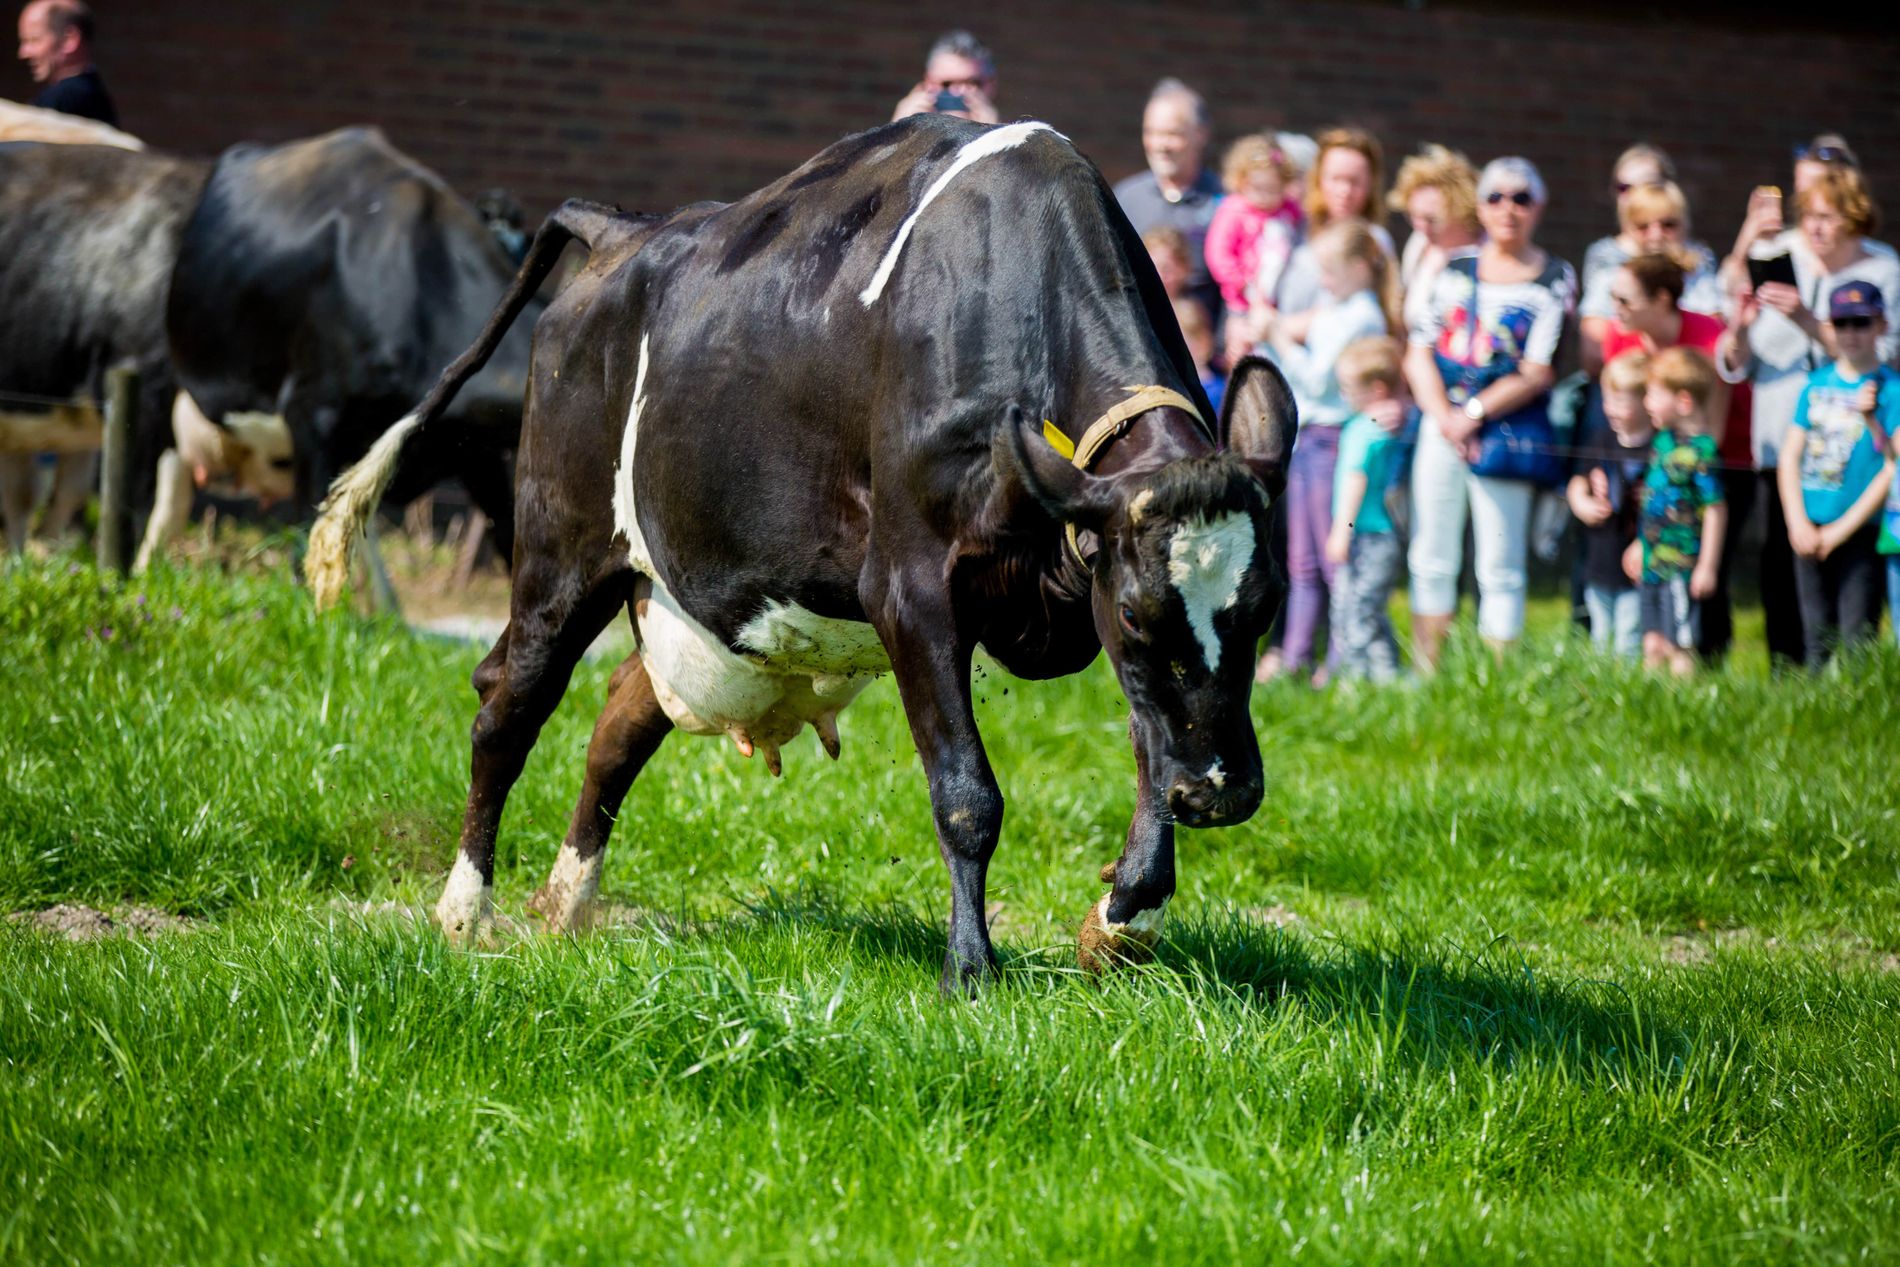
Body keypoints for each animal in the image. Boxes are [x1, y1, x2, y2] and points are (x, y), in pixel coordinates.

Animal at [308, 116, 1296, 994]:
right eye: (1137, 607)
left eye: (1268, 604)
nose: (1226, 792)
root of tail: (626, 232)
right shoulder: (911, 588)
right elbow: (967, 792)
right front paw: (970, 971)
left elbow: (1154, 745)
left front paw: (1121, 919)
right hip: (562, 544)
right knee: (507, 704)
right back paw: (464, 909)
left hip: (686, 600)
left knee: (619, 721)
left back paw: (567, 903)